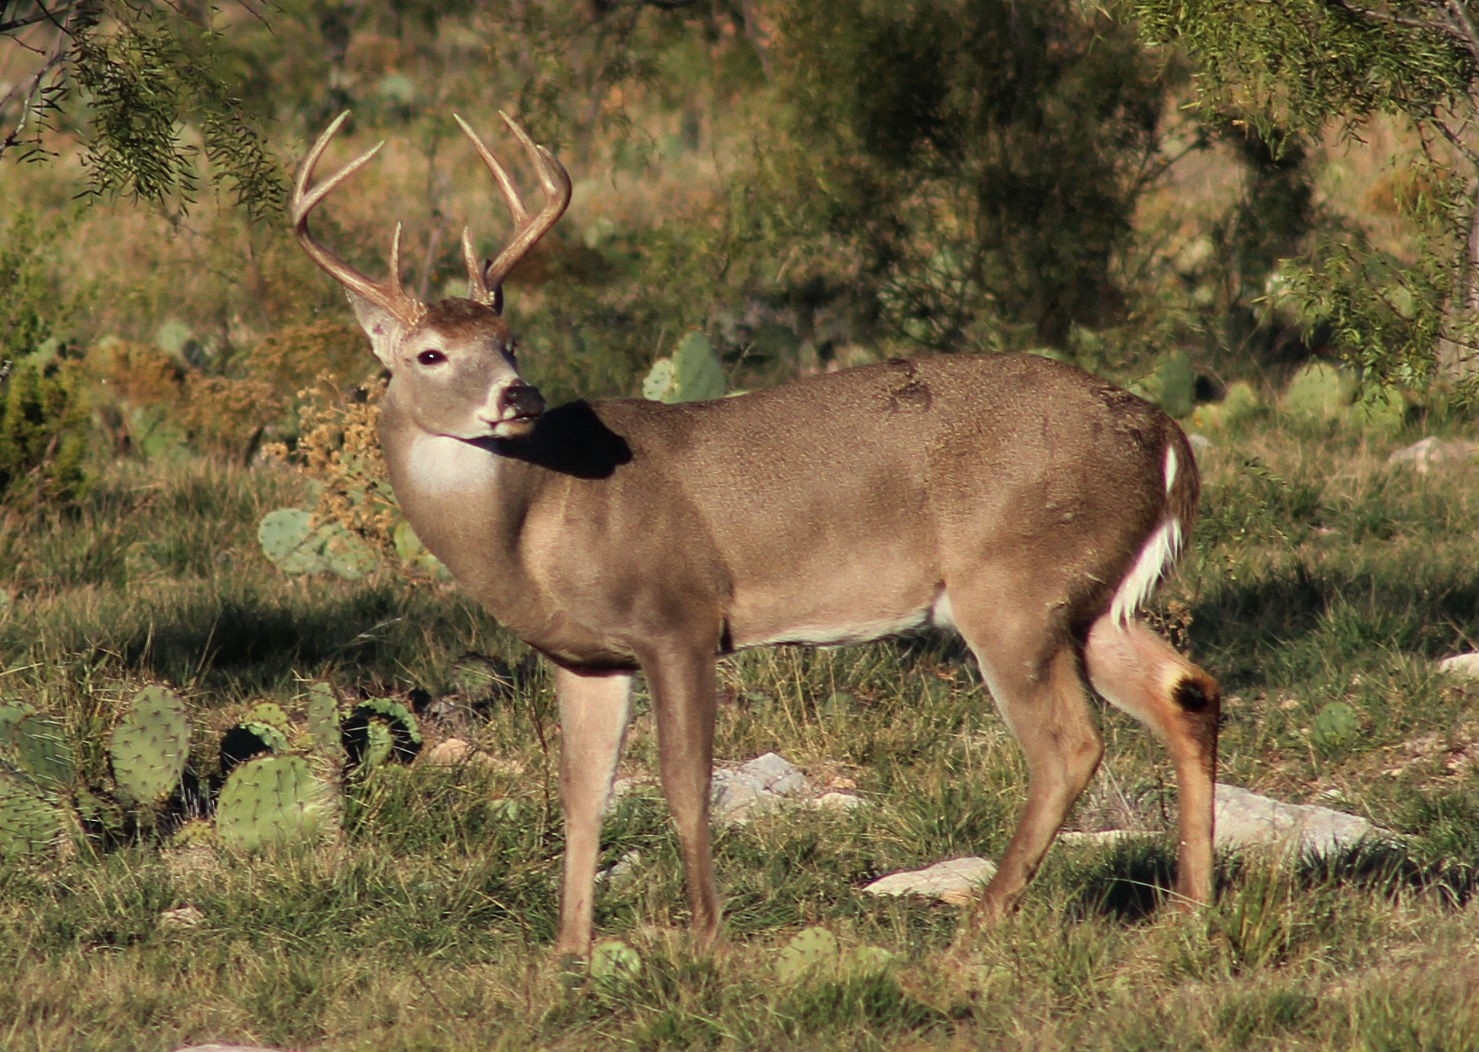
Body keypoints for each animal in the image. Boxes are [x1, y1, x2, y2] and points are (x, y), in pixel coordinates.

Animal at [294, 110, 1218, 958]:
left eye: (509, 341)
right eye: (430, 354)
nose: (518, 397)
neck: (537, 522)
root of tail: (1165, 434)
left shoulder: (679, 616)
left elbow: (682, 782)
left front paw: (704, 941)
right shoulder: (585, 656)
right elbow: (582, 794)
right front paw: (568, 957)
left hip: (1012, 586)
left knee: (1067, 746)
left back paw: (976, 932)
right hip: (1090, 599)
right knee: (1187, 692)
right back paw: (1185, 915)